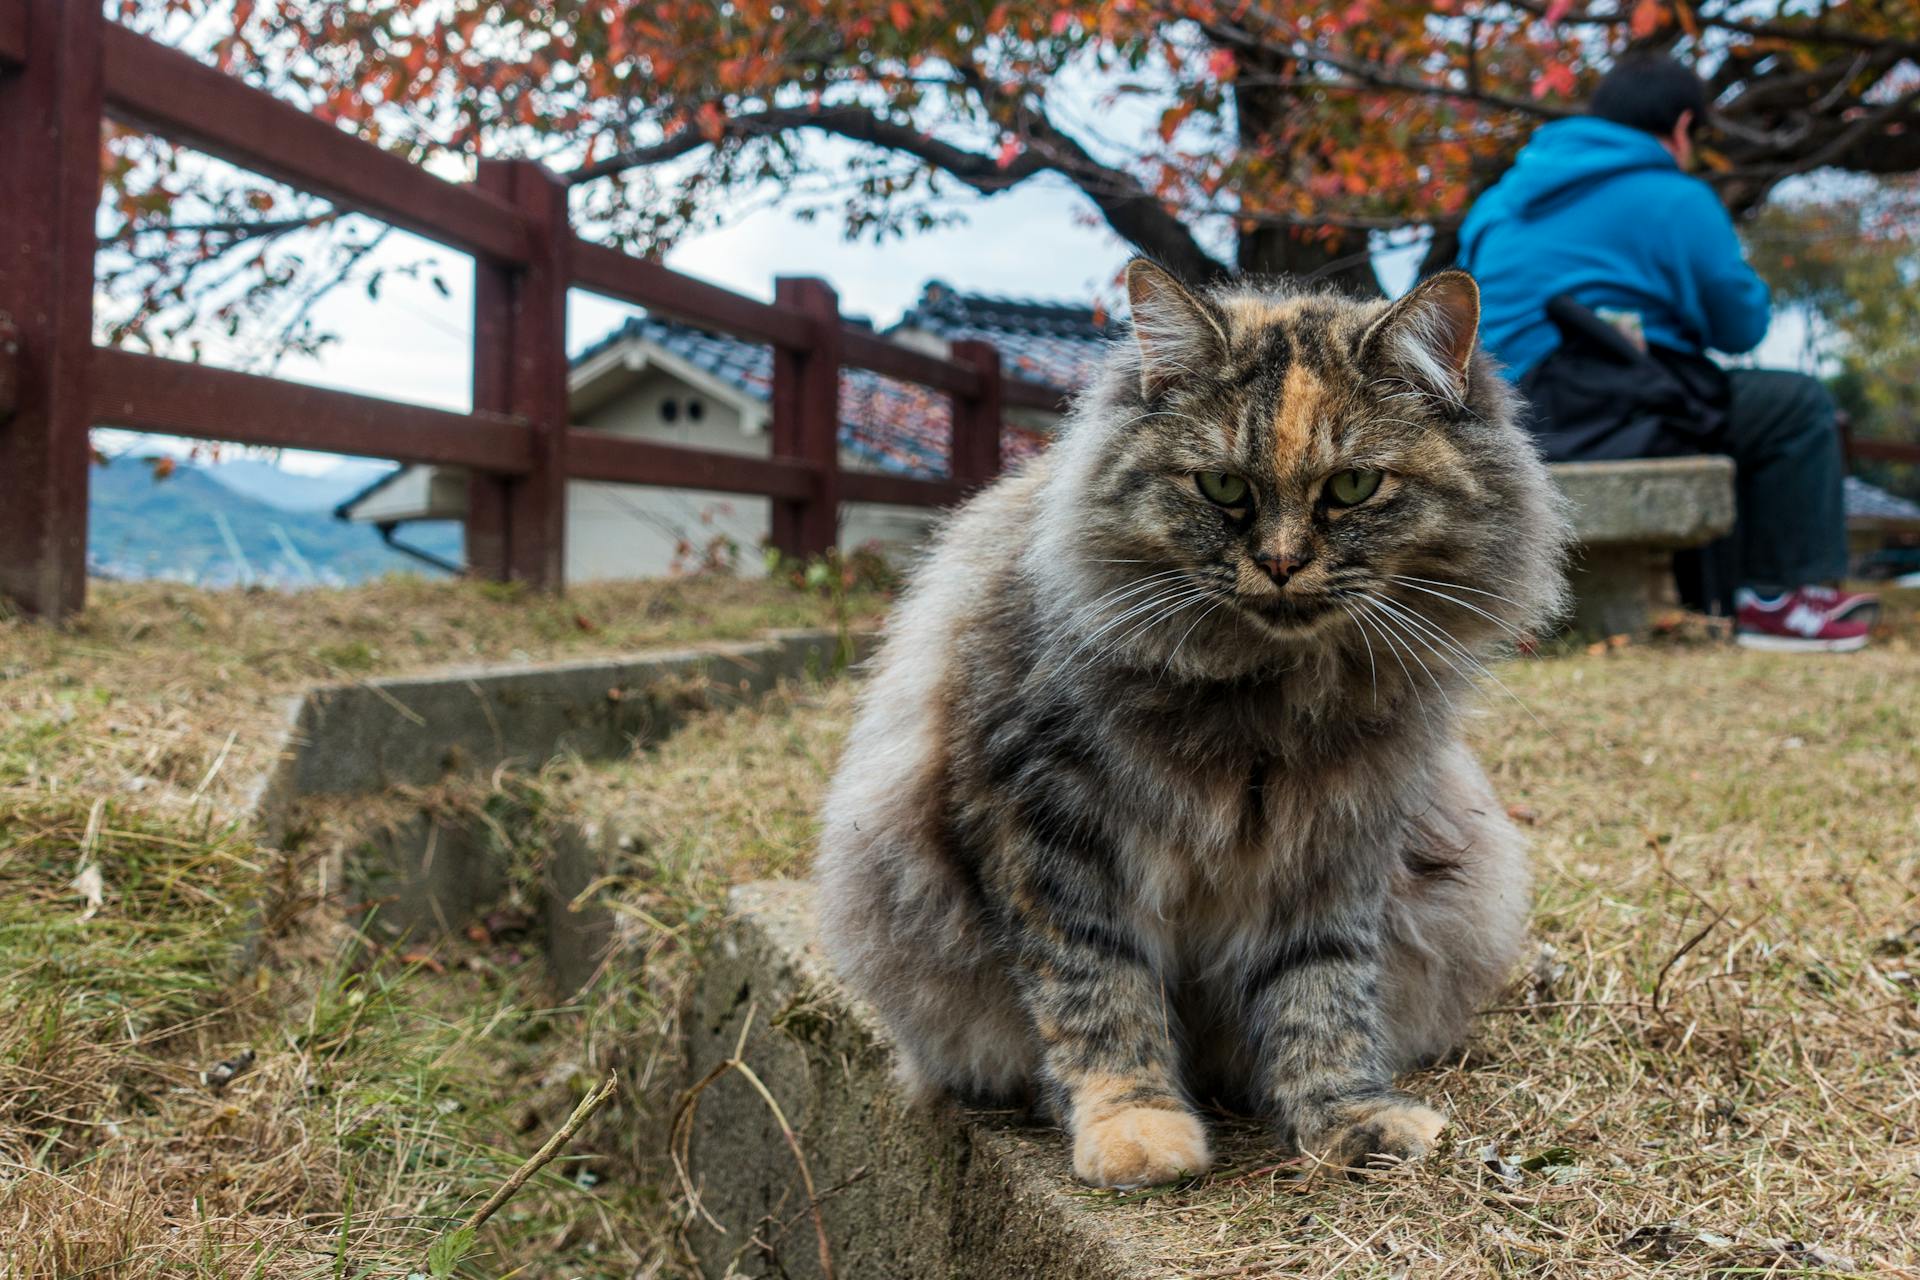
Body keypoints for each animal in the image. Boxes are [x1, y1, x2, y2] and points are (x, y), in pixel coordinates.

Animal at [817, 262, 1566, 1189]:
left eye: (1354, 487)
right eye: (1223, 487)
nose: (1280, 564)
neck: (1267, 700)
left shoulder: (1340, 835)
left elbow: (1322, 989)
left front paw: (1344, 1117)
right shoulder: (1044, 825)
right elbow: (1097, 988)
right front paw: (1133, 1127)